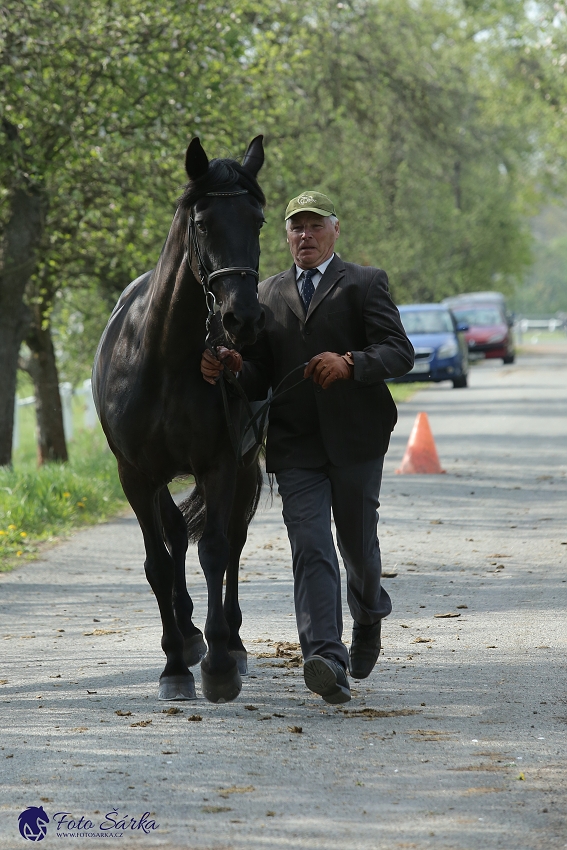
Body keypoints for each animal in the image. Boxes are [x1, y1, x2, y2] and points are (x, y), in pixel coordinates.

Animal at [93, 134, 268, 704]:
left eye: (258, 219)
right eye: (204, 222)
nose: (242, 319)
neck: (164, 357)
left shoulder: (220, 463)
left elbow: (214, 550)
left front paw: (219, 665)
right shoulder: (135, 474)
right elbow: (157, 561)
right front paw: (174, 664)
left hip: (247, 468)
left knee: (232, 541)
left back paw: (229, 640)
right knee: (171, 534)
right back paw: (189, 634)